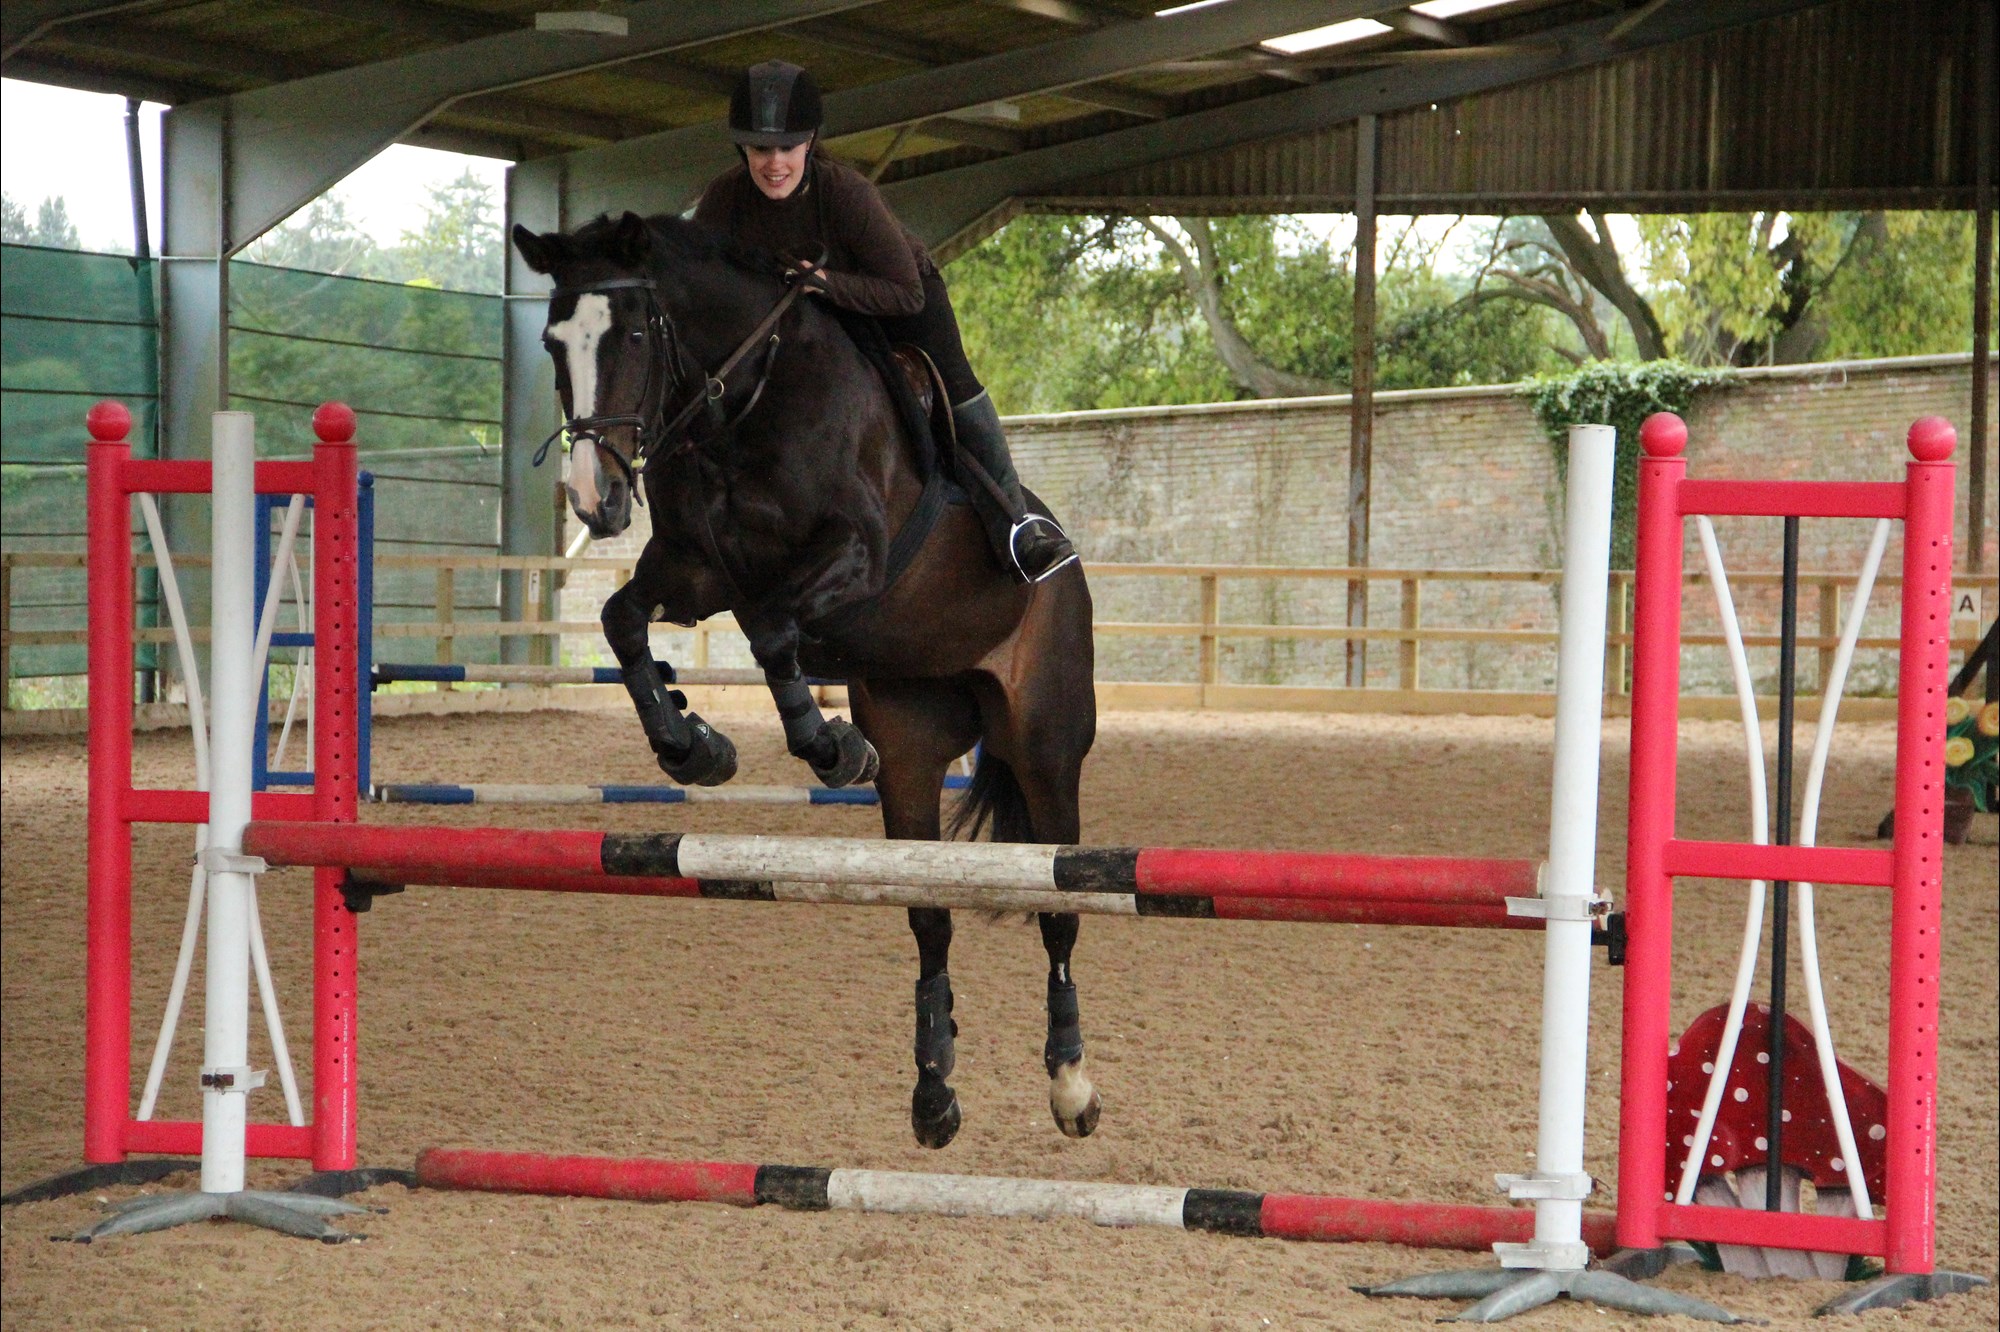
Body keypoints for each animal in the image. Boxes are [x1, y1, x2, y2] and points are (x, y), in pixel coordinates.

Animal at [508, 215, 1104, 1144]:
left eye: (636, 334)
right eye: (551, 342)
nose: (593, 498)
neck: (741, 402)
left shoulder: (853, 552)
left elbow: (769, 629)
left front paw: (826, 747)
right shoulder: (693, 569)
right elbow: (624, 620)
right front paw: (692, 746)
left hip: (1045, 747)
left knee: (1059, 904)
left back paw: (1071, 1085)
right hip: (914, 749)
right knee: (928, 913)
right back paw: (933, 1091)